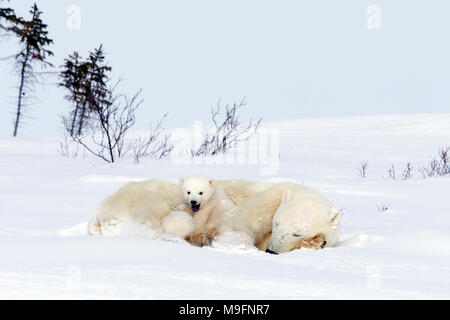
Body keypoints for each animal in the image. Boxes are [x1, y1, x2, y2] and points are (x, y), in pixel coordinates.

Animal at [89, 179, 342, 254]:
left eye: (296, 232)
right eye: (277, 223)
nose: (271, 251)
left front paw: (317, 241)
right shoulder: (268, 198)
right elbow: (240, 222)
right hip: (148, 196)